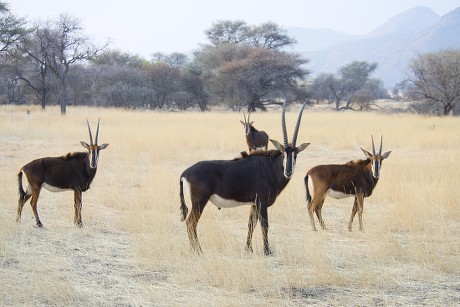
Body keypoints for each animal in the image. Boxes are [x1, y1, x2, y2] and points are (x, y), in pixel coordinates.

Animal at [180, 102, 310, 256]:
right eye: (283, 153)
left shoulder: (254, 204)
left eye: (295, 154)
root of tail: (186, 172)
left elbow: (251, 224)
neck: (269, 167)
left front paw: (248, 248)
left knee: (191, 223)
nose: (288, 171)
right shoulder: (262, 203)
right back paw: (197, 250)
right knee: (191, 223)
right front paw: (267, 251)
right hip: (199, 202)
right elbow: (264, 225)